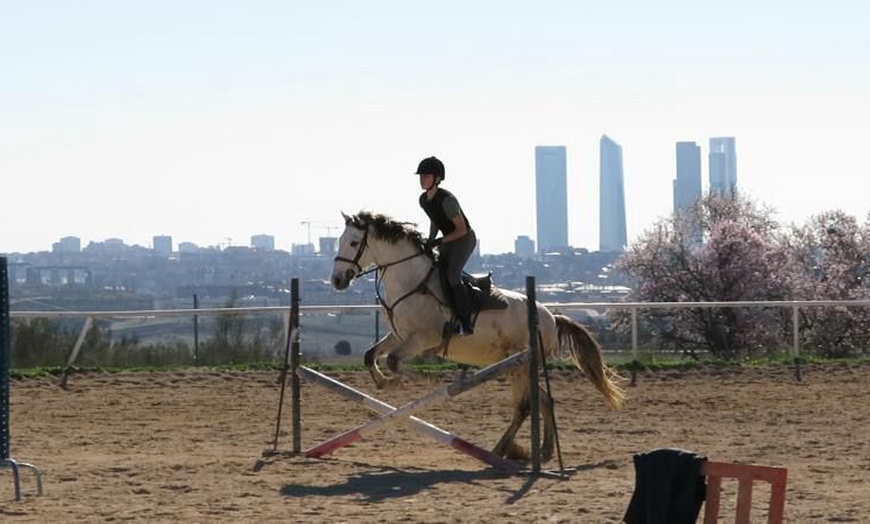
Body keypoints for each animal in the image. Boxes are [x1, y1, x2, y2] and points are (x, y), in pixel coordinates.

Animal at [330, 211, 625, 461]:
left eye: (354, 242)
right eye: (339, 241)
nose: (336, 280)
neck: (411, 282)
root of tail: (552, 318)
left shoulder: (424, 338)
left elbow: (393, 361)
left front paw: (415, 380)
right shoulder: (399, 335)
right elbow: (370, 355)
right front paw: (385, 384)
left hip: (518, 364)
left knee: (524, 406)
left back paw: (502, 449)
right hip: (520, 366)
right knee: (543, 400)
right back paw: (542, 450)